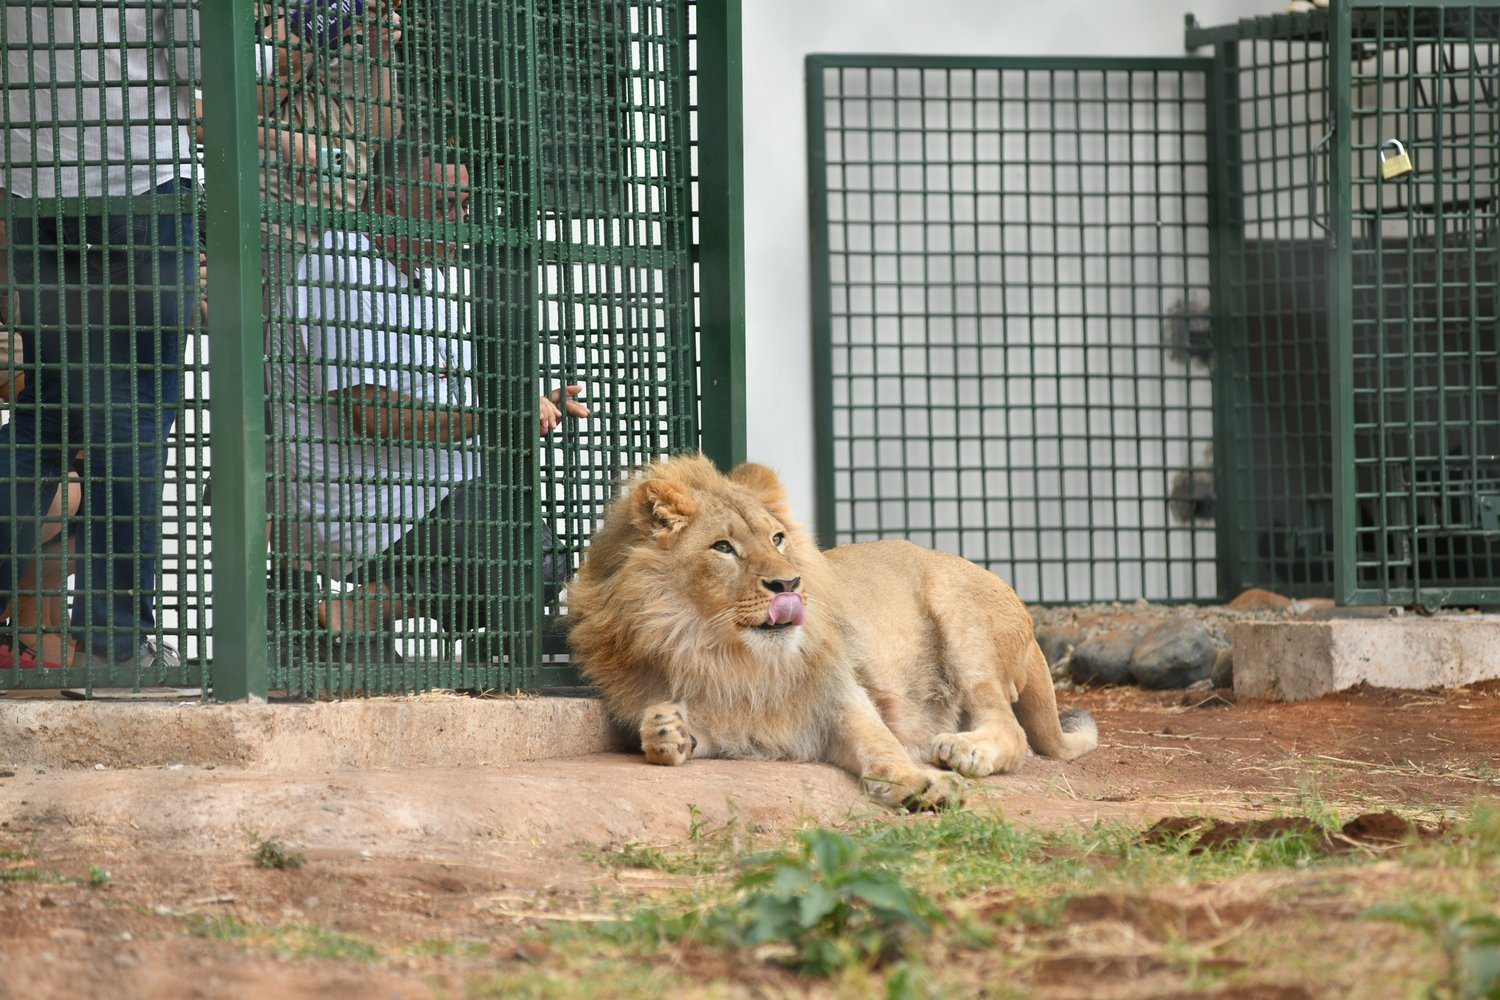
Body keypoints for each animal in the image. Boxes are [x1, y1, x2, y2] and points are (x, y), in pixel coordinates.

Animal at [567, 458, 1098, 809]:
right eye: (722, 547)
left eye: (777, 538)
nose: (788, 584)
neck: (720, 651)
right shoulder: (728, 723)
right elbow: (675, 730)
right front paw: (665, 731)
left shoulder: (841, 695)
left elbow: (880, 746)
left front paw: (918, 784)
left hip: (961, 618)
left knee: (1011, 729)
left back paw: (964, 749)